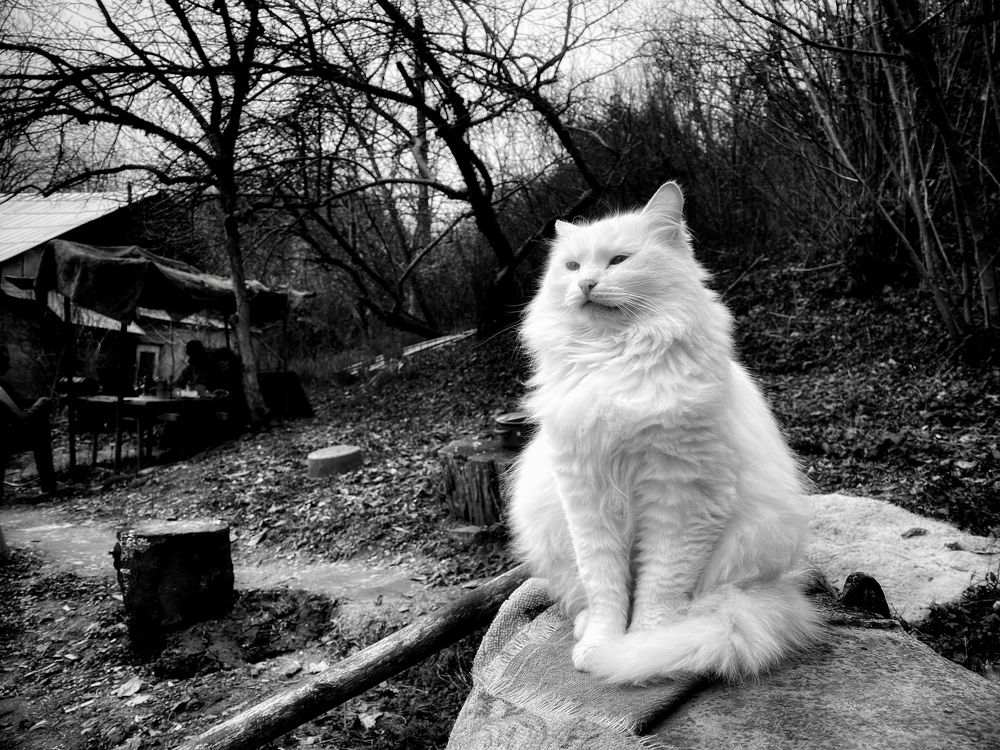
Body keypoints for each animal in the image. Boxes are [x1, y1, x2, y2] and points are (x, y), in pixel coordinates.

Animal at [507, 182, 821, 684]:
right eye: (572, 266)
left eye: (618, 261)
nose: (585, 284)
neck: (613, 359)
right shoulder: (587, 496)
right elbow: (605, 587)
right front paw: (602, 644)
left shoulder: (681, 496)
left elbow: (658, 590)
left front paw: (638, 647)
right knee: (583, 597)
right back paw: (583, 629)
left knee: (699, 604)